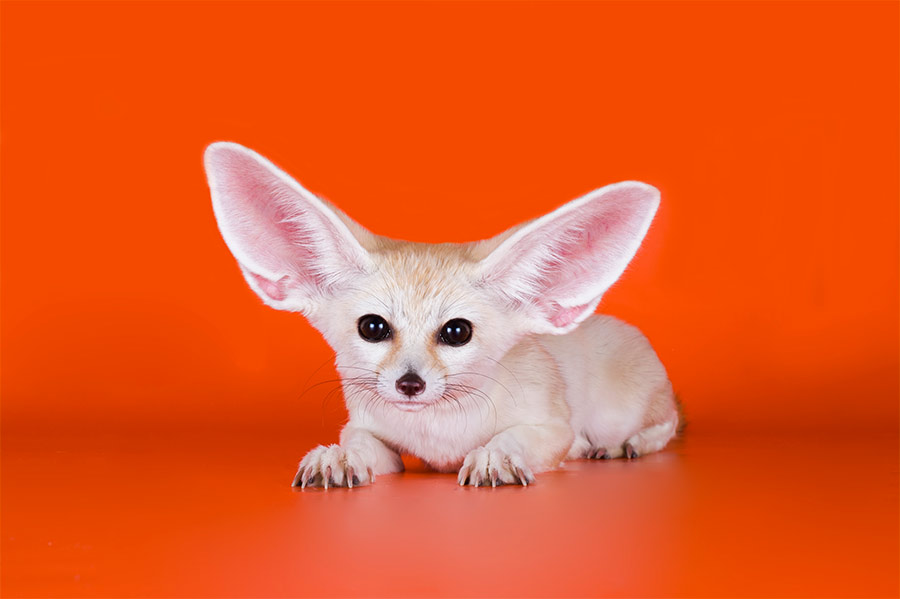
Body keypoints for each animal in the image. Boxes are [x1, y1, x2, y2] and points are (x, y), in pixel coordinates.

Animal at [204, 142, 679, 488]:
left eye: (457, 332)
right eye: (372, 327)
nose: (410, 384)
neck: (438, 431)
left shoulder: (552, 427)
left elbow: (522, 436)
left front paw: (495, 455)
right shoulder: (368, 428)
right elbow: (360, 444)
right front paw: (338, 458)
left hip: (623, 411)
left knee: (666, 424)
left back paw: (619, 445)